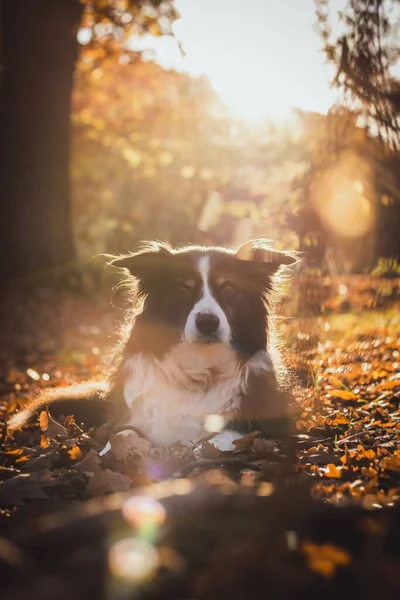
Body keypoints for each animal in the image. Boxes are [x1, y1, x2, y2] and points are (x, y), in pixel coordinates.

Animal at [8, 239, 296, 450]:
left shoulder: (272, 423)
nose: (207, 322)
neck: (198, 367)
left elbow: (222, 438)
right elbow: (122, 435)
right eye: (182, 290)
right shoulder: (125, 419)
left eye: (229, 290)